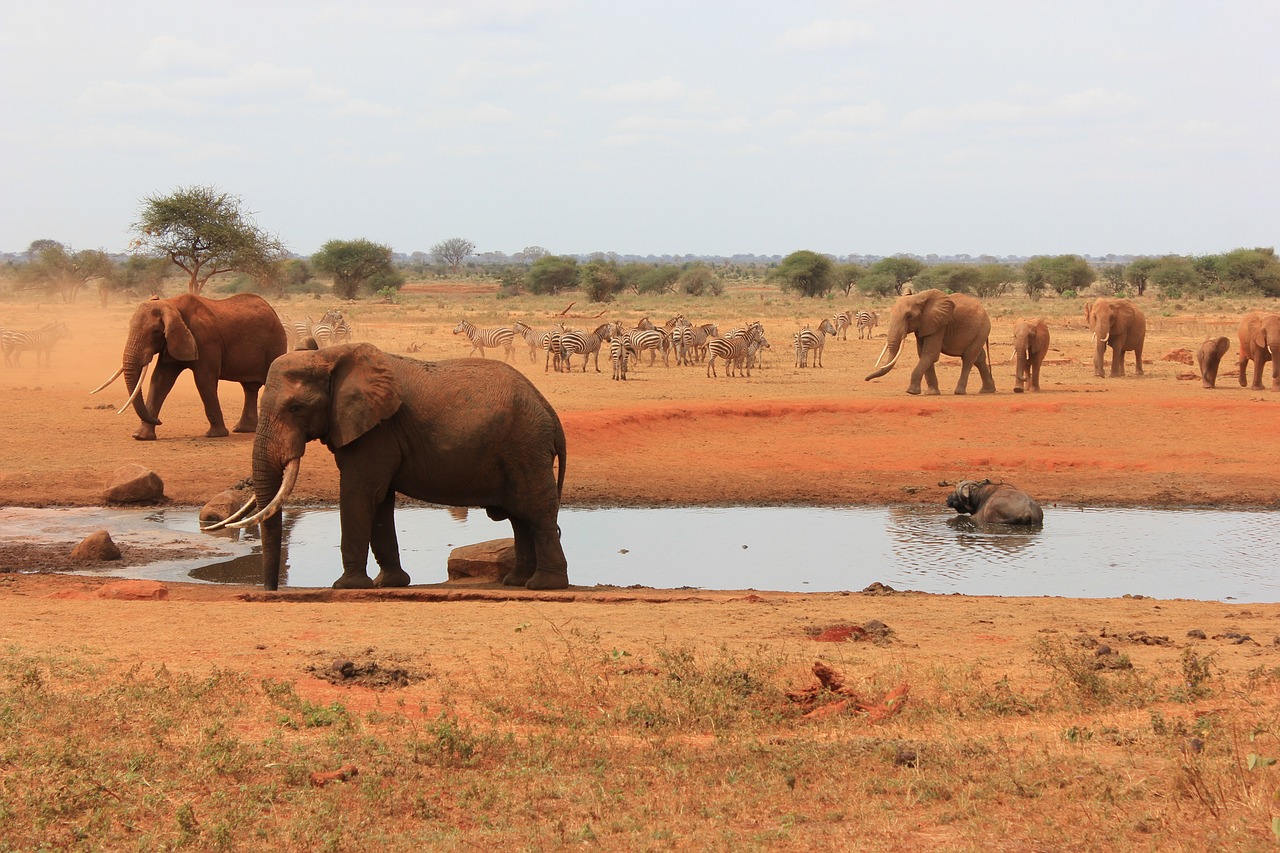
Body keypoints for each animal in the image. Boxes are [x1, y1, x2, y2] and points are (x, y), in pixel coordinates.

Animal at [92, 292, 288, 438]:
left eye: (155, 332)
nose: (160, 421)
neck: (171, 303)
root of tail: (272, 310)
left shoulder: (206, 340)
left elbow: (203, 380)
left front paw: (215, 435)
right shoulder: (172, 343)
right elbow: (160, 380)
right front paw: (141, 436)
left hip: (276, 343)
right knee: (250, 388)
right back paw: (244, 430)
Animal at [221, 343, 570, 591]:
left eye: (295, 408)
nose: (271, 590)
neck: (330, 355)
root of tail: (551, 414)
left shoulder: (377, 430)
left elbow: (359, 493)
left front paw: (347, 587)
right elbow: (379, 500)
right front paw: (388, 583)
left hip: (525, 447)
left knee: (535, 510)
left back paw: (544, 586)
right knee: (520, 517)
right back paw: (516, 582)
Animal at [860, 285, 998, 391]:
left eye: (909, 316)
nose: (866, 379)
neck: (919, 298)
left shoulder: (939, 324)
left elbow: (930, 353)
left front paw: (911, 392)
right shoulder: (923, 325)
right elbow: (922, 353)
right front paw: (931, 393)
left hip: (983, 328)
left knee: (969, 358)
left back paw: (959, 392)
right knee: (979, 357)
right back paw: (987, 390)